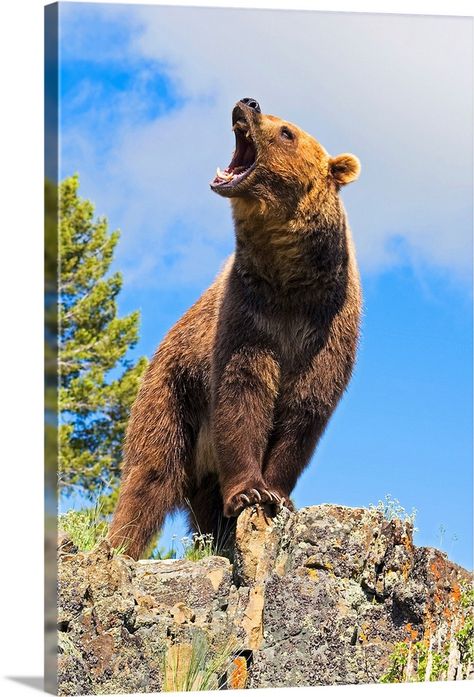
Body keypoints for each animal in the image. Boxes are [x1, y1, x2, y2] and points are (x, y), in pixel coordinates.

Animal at [107, 98, 362, 556]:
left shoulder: (325, 325)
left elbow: (305, 408)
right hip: (173, 393)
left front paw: (277, 494)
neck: (289, 281)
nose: (248, 104)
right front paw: (250, 491)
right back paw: (119, 547)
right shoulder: (249, 316)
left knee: (200, 507)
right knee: (150, 475)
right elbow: (242, 392)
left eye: (287, 131)